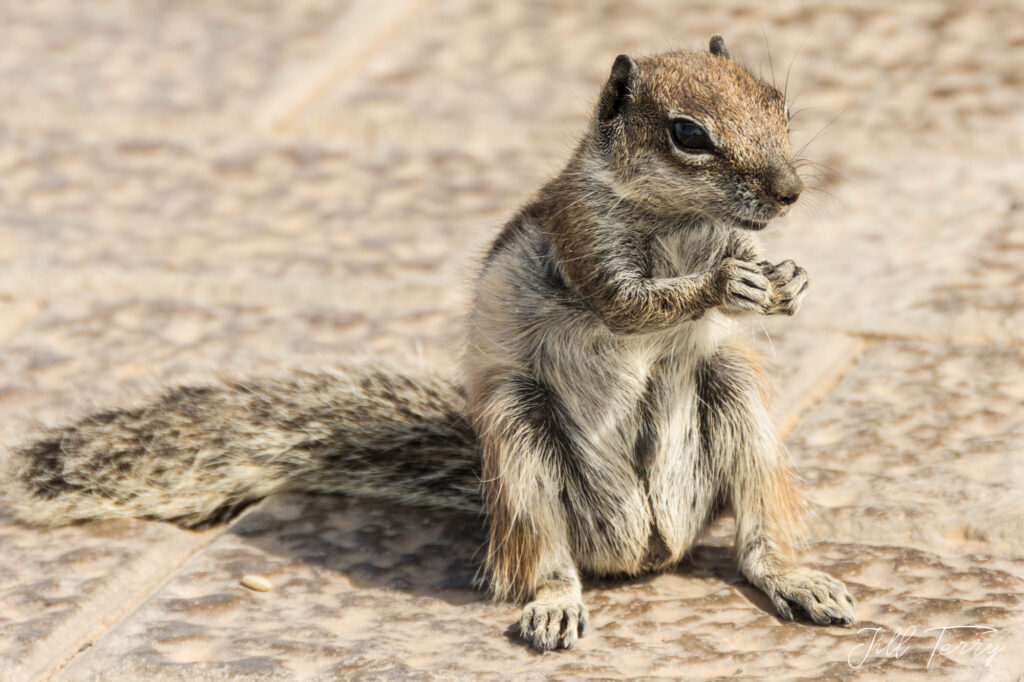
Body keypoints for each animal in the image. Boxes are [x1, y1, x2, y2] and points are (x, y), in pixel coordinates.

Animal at [5, 36, 855, 651]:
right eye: (688, 135)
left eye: (777, 101)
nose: (791, 193)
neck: (680, 224)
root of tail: (647, 548)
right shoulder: (584, 239)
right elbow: (625, 305)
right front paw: (723, 285)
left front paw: (788, 279)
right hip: (520, 438)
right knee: (545, 556)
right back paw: (556, 604)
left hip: (730, 394)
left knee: (753, 533)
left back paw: (796, 580)